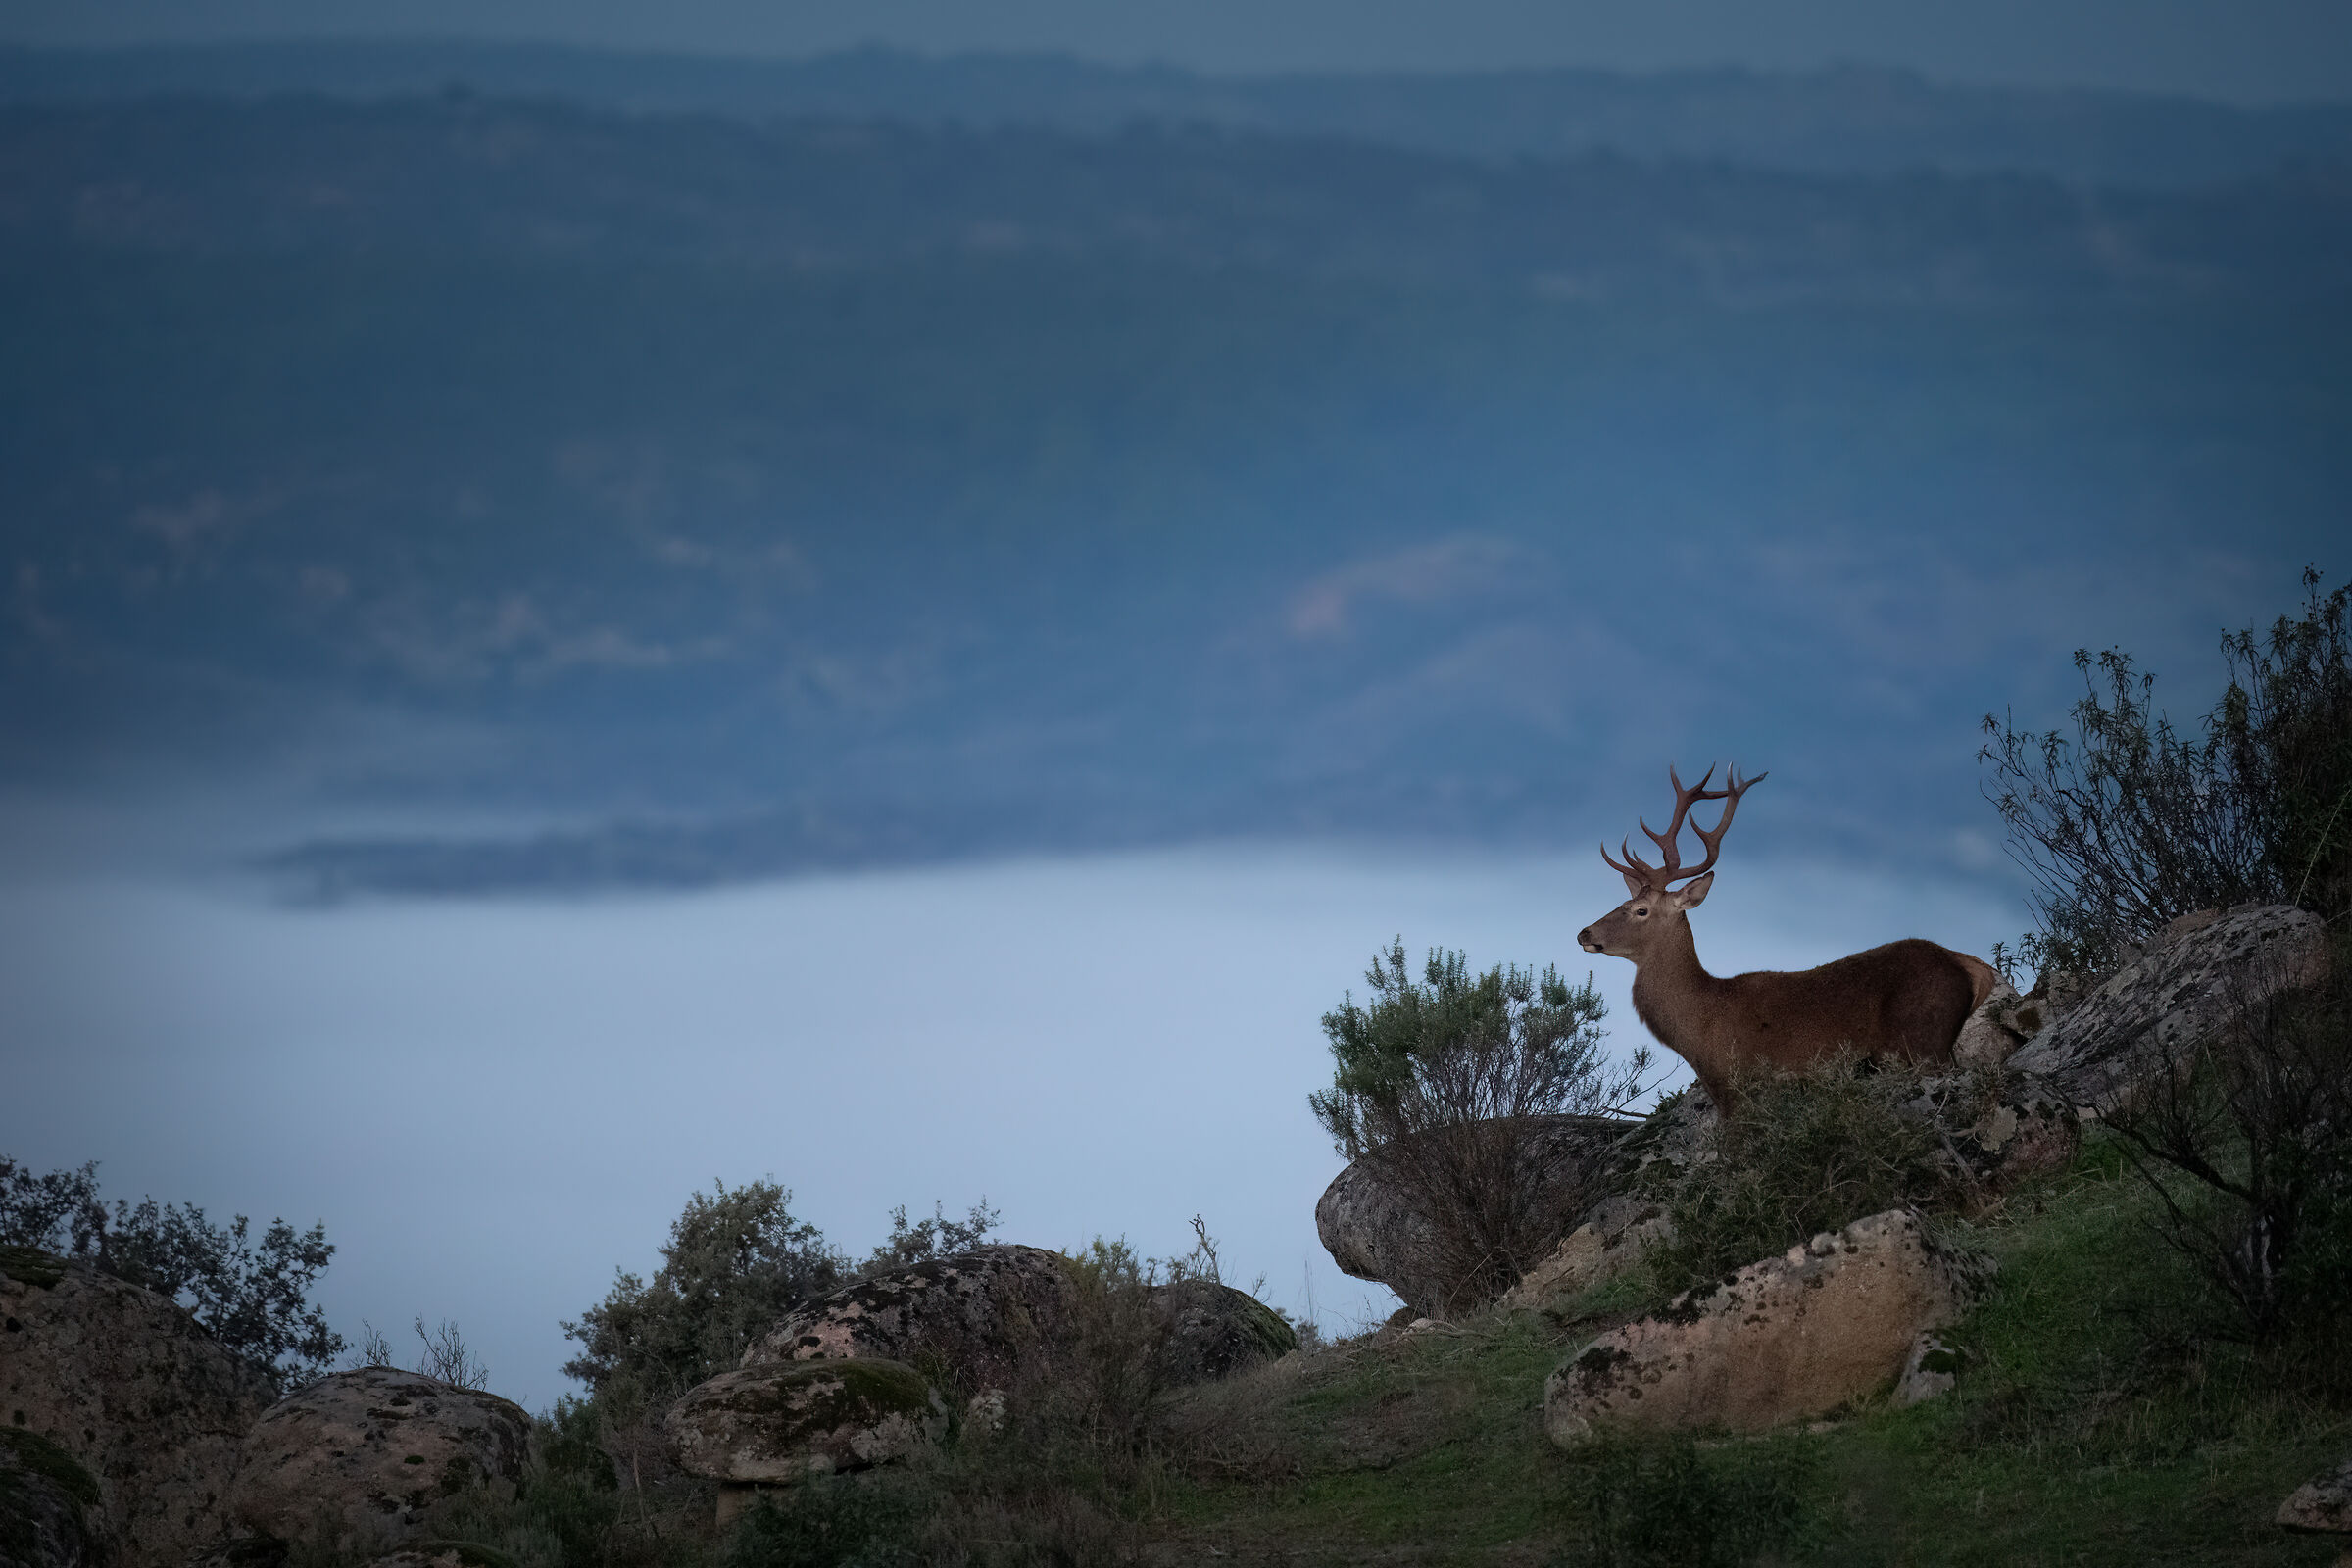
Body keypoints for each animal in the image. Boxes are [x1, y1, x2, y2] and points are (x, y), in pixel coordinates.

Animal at [1576, 766, 2001, 1110]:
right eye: (1624, 901)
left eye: (1640, 910)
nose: (1583, 932)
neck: (1703, 1027)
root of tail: (1967, 965)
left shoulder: (1740, 1086)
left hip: (1924, 1040)